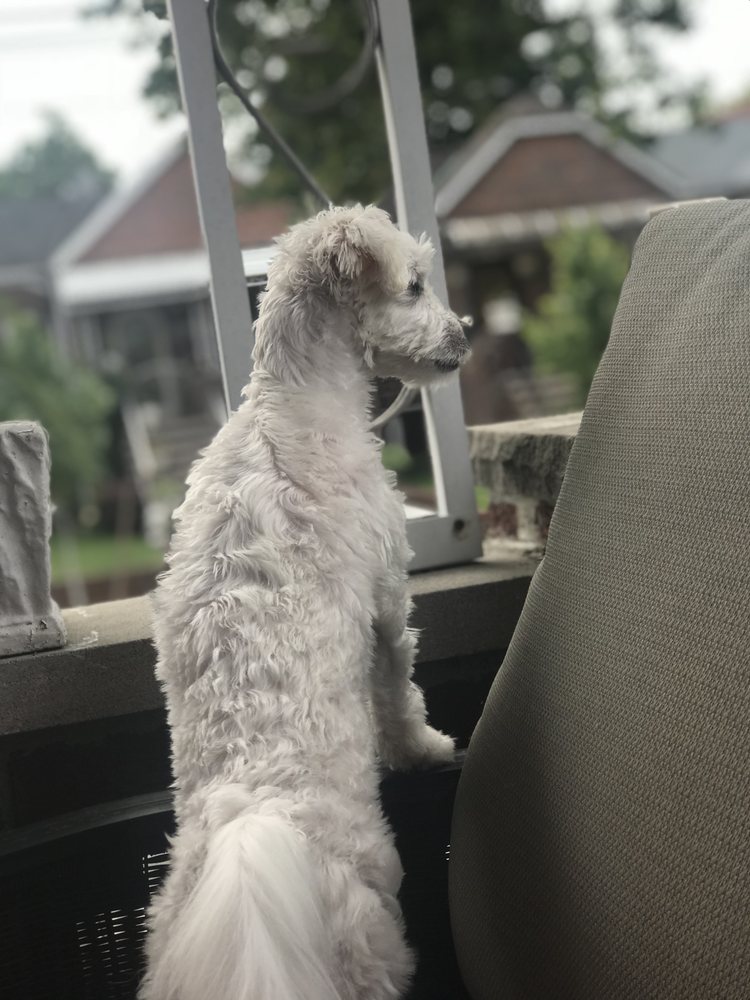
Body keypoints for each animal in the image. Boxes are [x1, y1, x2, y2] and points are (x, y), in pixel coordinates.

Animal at [140, 205, 471, 1000]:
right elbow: (399, 694)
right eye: (415, 286)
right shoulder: (387, 601)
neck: (287, 404)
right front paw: (425, 749)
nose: (465, 332)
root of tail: (251, 815)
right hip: (374, 943)